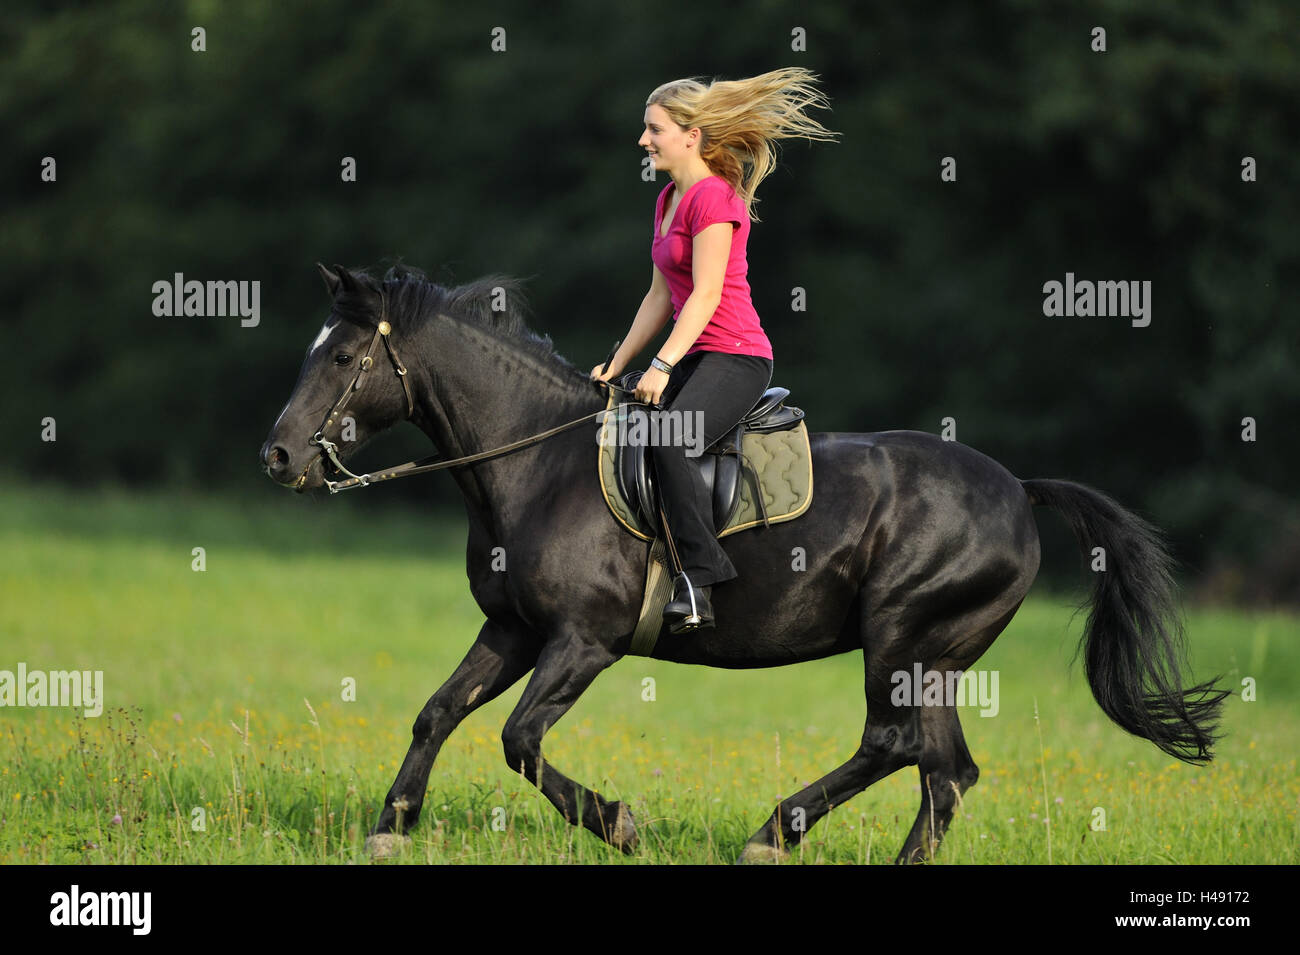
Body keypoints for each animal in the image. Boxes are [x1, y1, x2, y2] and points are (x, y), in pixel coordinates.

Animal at [260, 263, 1228, 863]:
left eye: (341, 356)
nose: (277, 457)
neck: (536, 463)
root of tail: (1019, 490)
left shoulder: (583, 639)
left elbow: (519, 738)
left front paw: (621, 825)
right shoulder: (512, 628)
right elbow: (437, 712)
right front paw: (390, 827)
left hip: (902, 635)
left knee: (895, 744)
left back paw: (771, 833)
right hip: (937, 657)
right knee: (944, 771)